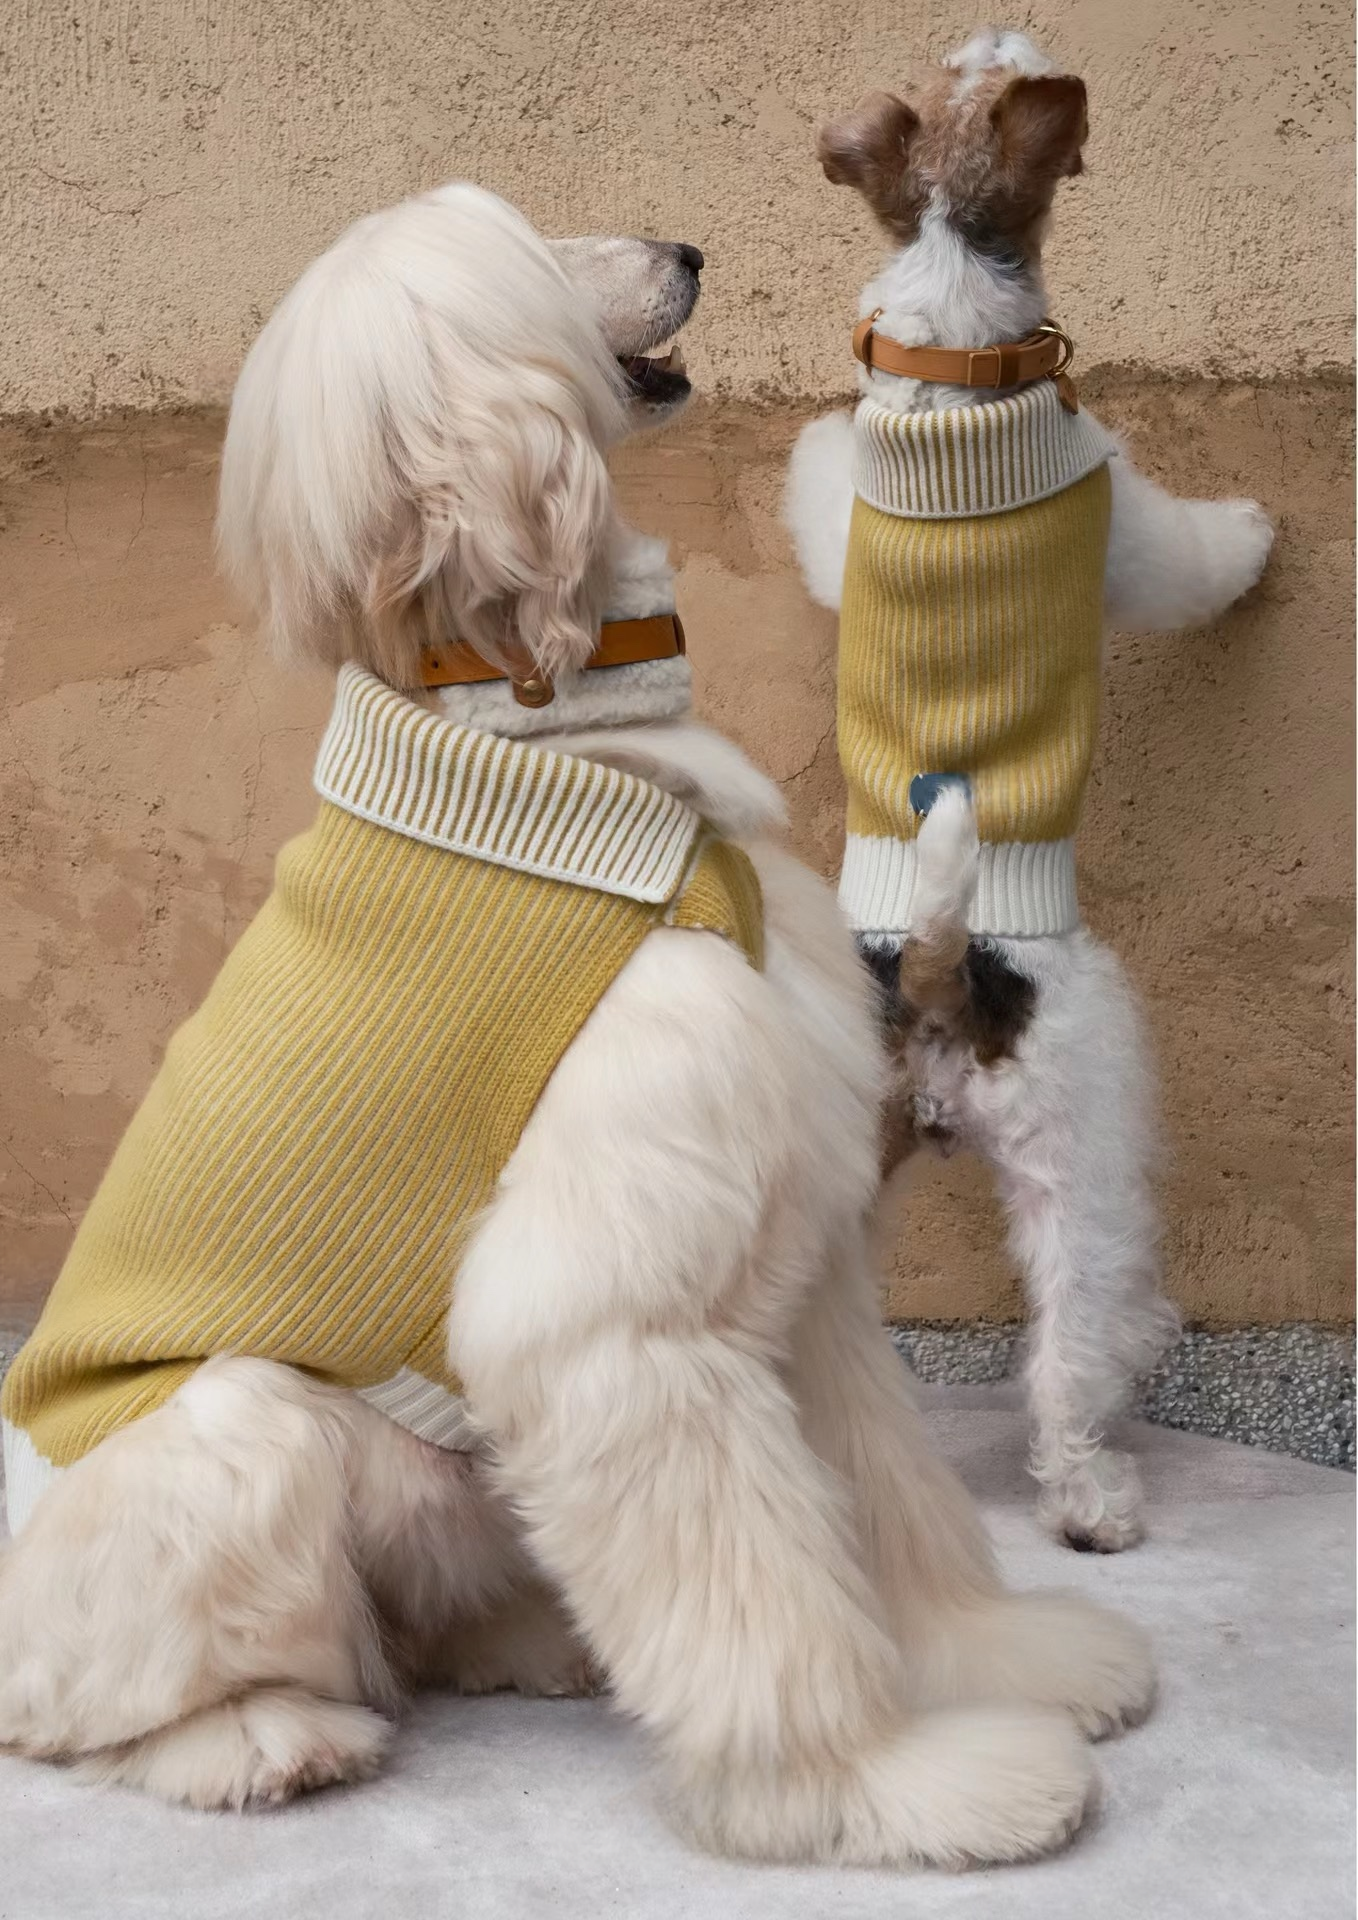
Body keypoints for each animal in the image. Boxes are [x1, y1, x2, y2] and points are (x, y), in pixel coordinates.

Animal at [0, 176, 1152, 1858]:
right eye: (527, 248)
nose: (688, 251)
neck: (543, 744)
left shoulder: (789, 1235)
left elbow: (886, 1502)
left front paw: (999, 1662)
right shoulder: (608, 1309)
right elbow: (764, 1598)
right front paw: (880, 1785)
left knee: (424, 1623)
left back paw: (533, 1641)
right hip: (243, 1429)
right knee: (111, 1708)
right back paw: (265, 1739)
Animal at [787, 30, 1275, 1551]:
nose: (1029, 43)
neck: (955, 351)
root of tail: (939, 965)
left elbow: (818, 491)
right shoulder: (1117, 504)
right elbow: (1191, 553)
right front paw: (1256, 538)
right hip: (1086, 1127)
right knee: (1072, 1339)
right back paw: (1095, 1487)